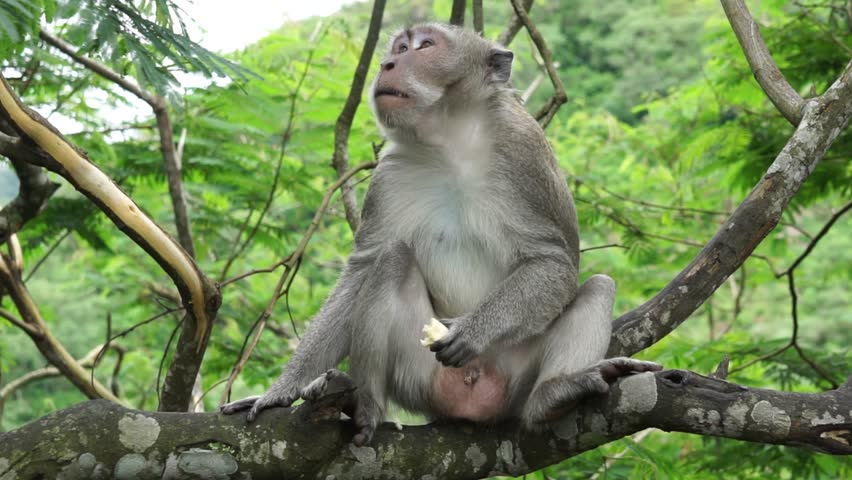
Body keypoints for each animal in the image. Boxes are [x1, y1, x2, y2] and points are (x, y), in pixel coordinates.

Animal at [221, 23, 661, 446]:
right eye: (399, 48)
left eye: (425, 46)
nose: (387, 64)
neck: (449, 143)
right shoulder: (389, 175)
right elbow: (363, 268)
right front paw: (279, 392)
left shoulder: (527, 152)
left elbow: (553, 260)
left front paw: (473, 329)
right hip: (419, 377)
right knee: (391, 261)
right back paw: (367, 405)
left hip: (514, 376)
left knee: (599, 286)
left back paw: (553, 396)